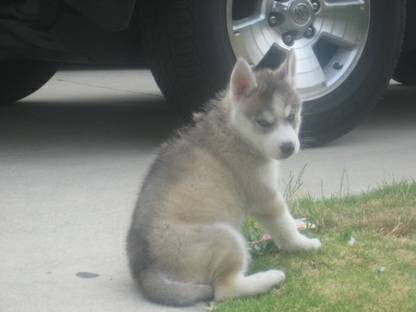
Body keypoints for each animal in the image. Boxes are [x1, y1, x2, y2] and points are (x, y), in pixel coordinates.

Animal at [127, 54, 322, 306]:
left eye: (291, 117)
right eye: (263, 123)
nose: (289, 147)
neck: (235, 131)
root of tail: (145, 272)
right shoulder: (265, 197)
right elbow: (285, 225)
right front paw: (303, 244)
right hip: (225, 237)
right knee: (224, 290)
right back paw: (270, 277)